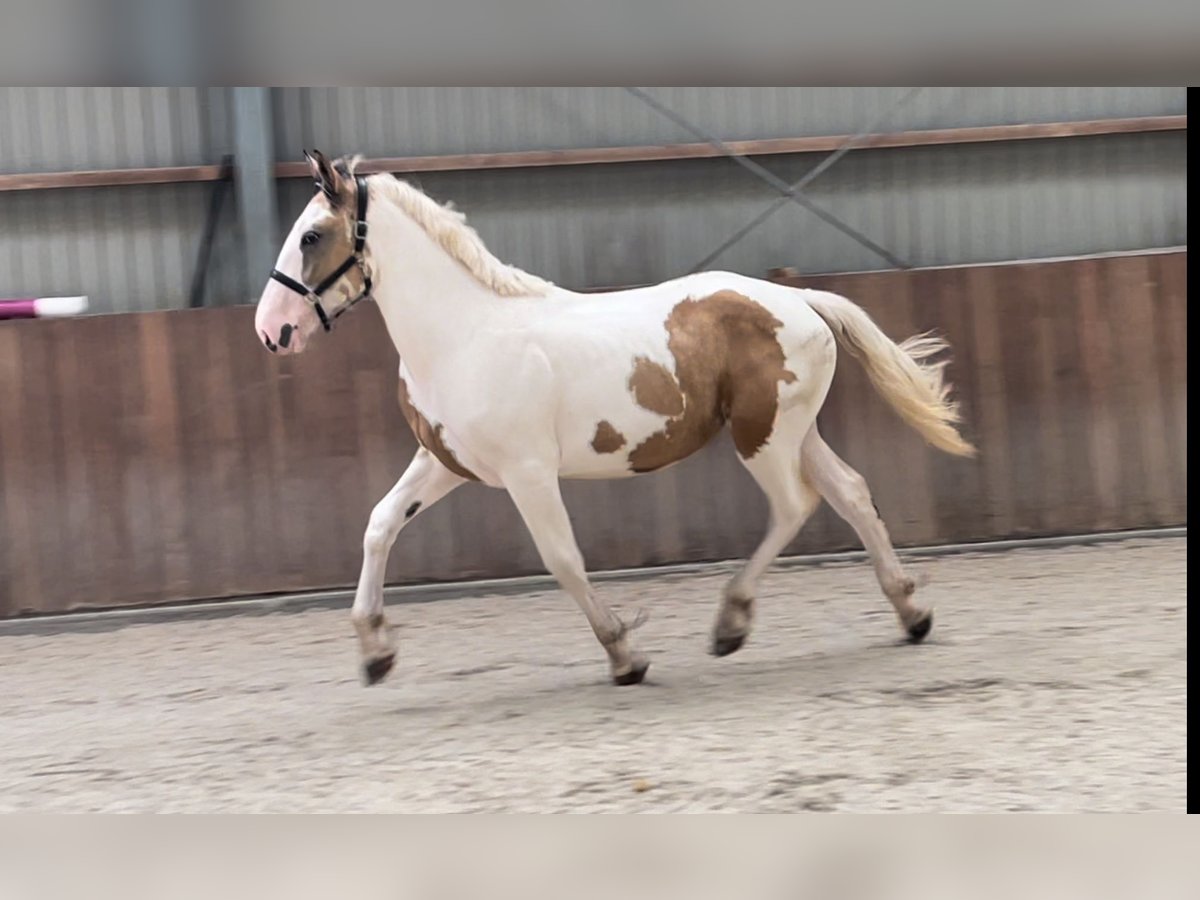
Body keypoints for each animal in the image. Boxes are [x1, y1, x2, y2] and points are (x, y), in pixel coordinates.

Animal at [253, 153, 974, 691]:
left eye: (311, 236)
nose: (271, 331)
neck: (465, 335)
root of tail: (799, 298)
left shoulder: (528, 473)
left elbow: (563, 558)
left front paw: (626, 656)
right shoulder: (445, 464)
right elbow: (379, 525)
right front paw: (375, 654)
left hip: (762, 438)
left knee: (795, 507)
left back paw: (731, 624)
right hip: (792, 432)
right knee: (851, 492)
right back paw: (912, 614)